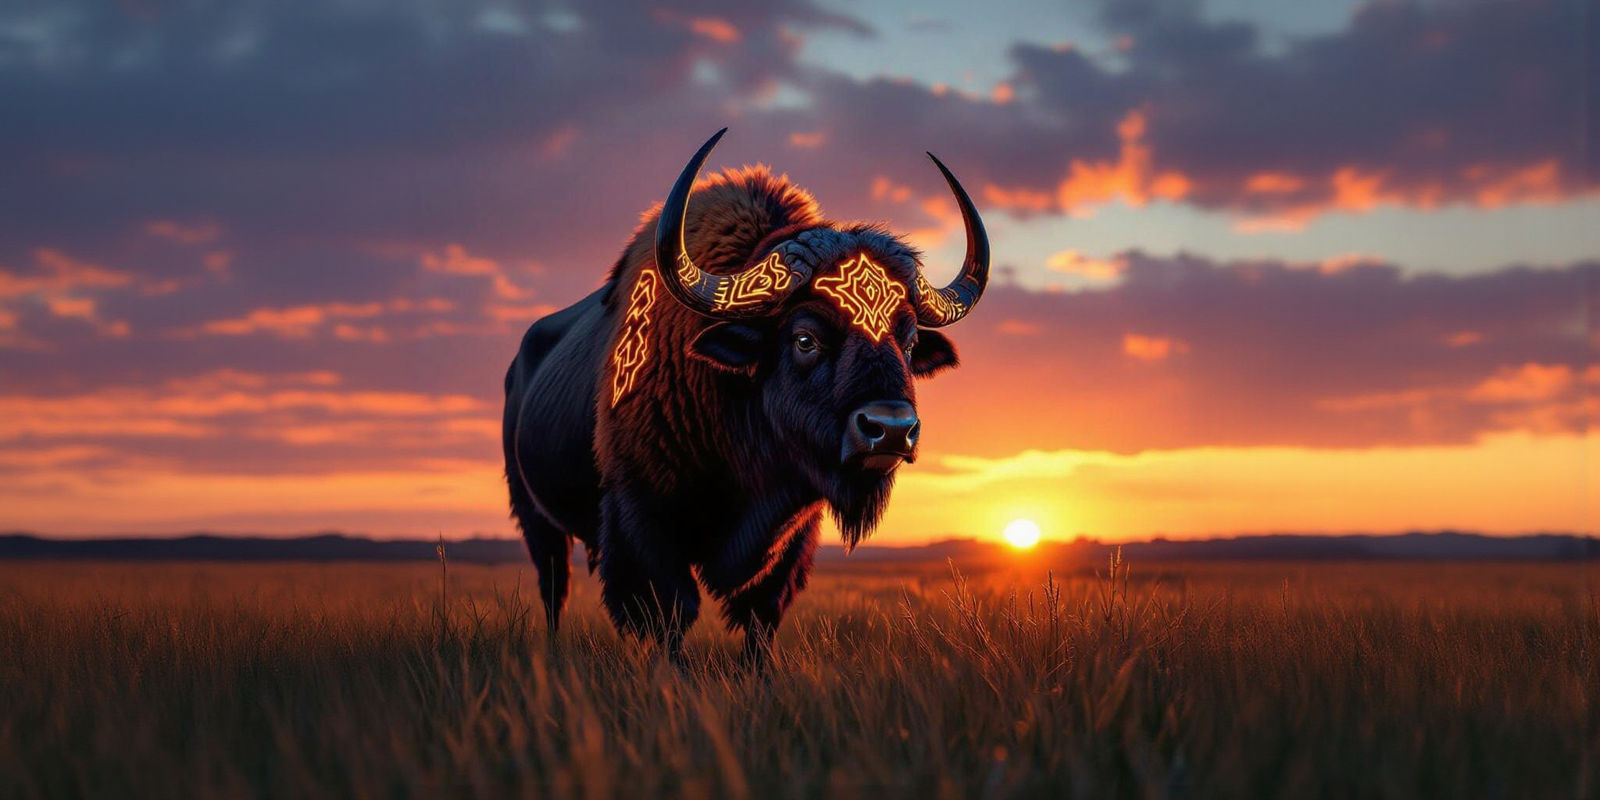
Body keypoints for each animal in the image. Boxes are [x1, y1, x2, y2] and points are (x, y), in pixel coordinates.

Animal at [503, 129, 989, 665]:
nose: (892, 429)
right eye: (804, 338)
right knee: (554, 586)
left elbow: (760, 616)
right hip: (536, 518)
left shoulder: (792, 534)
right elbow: (672, 610)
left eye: (908, 340)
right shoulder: (641, 519)